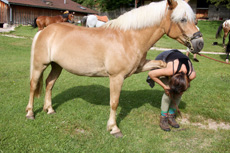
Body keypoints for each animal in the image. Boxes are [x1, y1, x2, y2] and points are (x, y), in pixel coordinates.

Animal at [26, 0, 204, 137]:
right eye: (182, 19)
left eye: (194, 20)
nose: (199, 43)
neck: (128, 37)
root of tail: (44, 31)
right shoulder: (116, 77)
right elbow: (114, 102)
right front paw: (114, 128)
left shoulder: (140, 66)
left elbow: (162, 64)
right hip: (39, 66)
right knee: (33, 85)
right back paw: (30, 113)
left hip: (57, 66)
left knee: (49, 83)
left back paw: (49, 109)